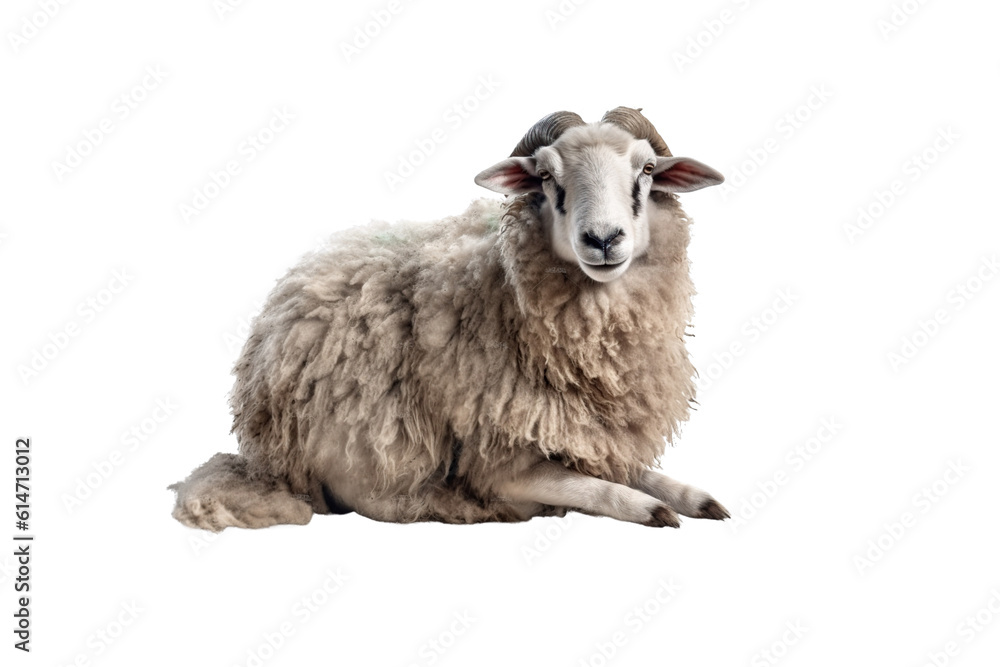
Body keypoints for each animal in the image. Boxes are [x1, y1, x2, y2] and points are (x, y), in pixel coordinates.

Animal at [169, 106, 729, 531]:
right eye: (546, 175)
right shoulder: (499, 467)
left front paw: (695, 497)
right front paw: (652, 508)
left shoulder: (595, 442)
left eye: (648, 169)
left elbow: (635, 471)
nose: (604, 239)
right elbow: (594, 486)